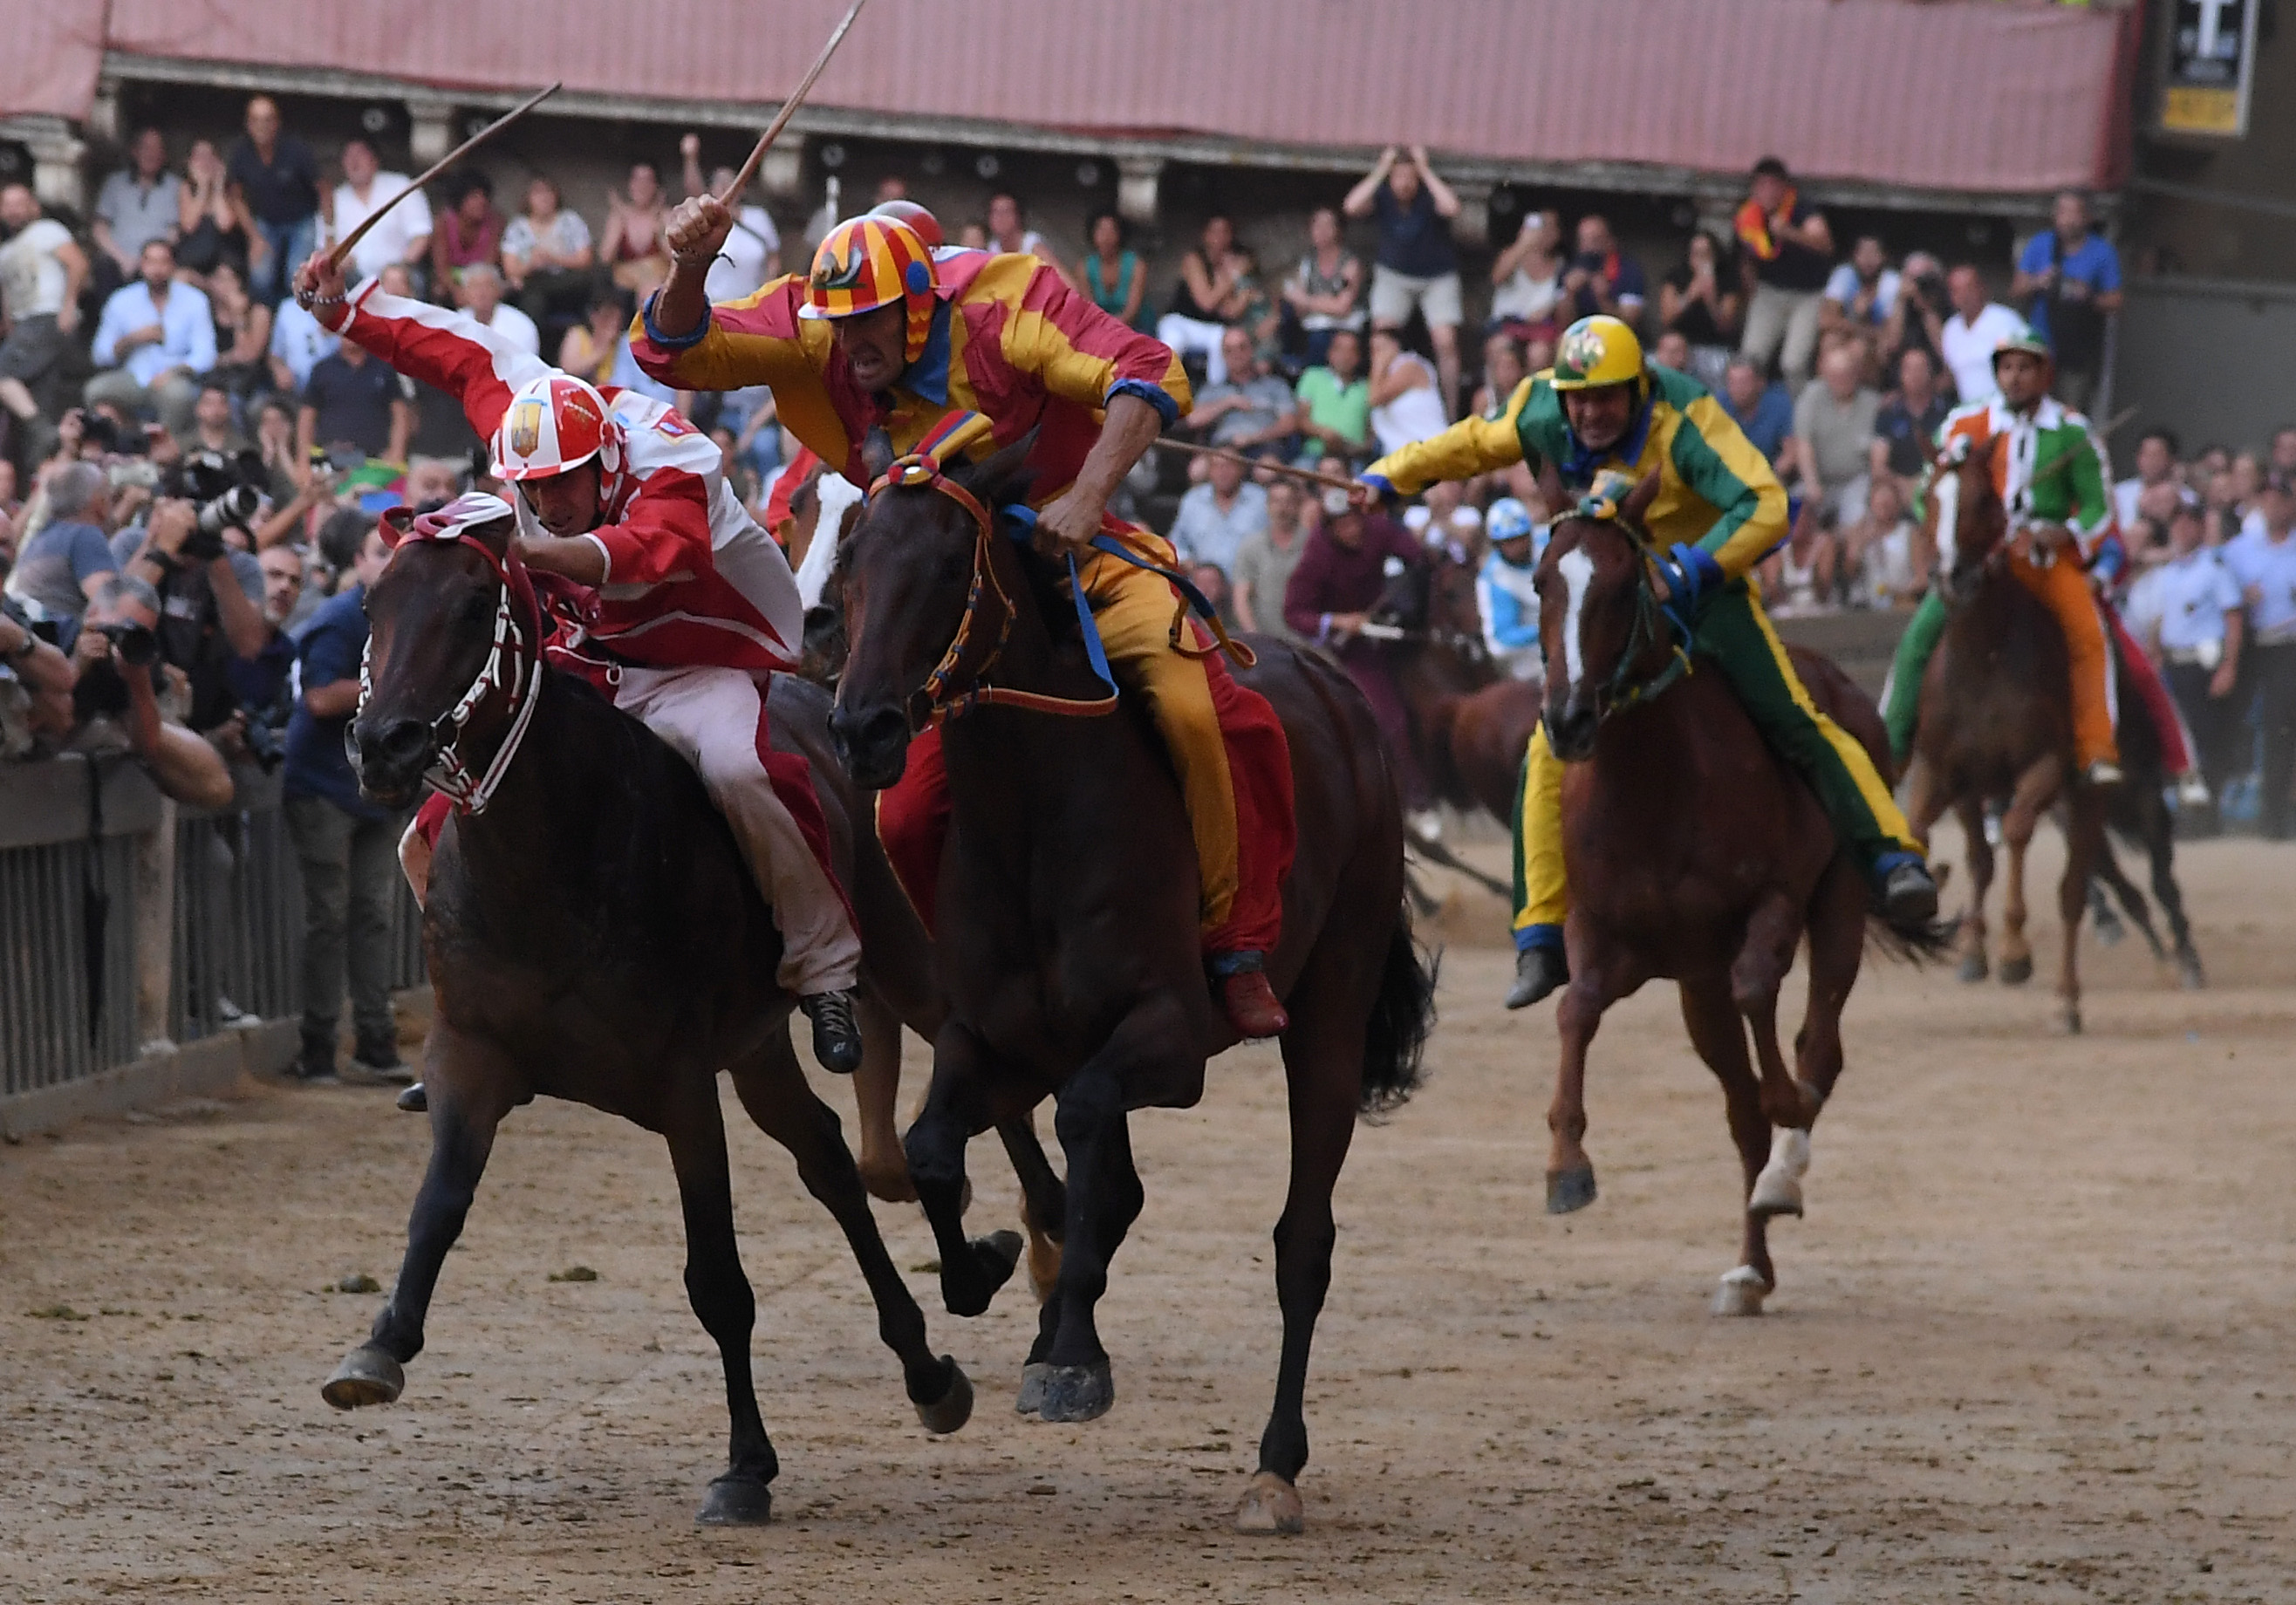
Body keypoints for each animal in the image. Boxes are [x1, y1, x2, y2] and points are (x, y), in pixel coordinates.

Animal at [325, 507, 987, 1524]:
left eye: (474, 604)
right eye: (373, 601)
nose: (384, 744)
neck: (554, 856)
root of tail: (828, 702)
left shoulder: (680, 1086)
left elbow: (717, 1281)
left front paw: (745, 1466)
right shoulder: (472, 1055)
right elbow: (435, 1210)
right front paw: (379, 1346)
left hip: (892, 946)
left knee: (945, 1070)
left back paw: (978, 1260)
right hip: (757, 1048)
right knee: (827, 1158)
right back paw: (925, 1367)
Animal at [826, 434, 1432, 1533]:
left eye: (947, 569)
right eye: (848, 566)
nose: (862, 728)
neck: (1035, 815)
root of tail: (1337, 684)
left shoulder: (1170, 1037)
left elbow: (1083, 1117)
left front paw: (1070, 1351)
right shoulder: (989, 1037)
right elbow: (937, 1148)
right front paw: (982, 1273)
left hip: (1331, 998)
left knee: (1303, 1241)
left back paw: (1274, 1466)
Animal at [1524, 473, 1937, 1322]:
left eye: (1623, 583)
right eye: (1544, 581)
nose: (1569, 719)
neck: (1656, 783)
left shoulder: (1772, 902)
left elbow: (1765, 1003)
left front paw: (1791, 1112)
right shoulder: (1612, 937)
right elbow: (1575, 1010)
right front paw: (1566, 1165)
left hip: (1837, 907)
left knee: (1819, 1048)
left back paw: (1785, 1167)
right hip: (1696, 991)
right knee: (1741, 1109)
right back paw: (1750, 1268)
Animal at [1910, 443, 2102, 1042]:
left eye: (1984, 501)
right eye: (1930, 498)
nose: (1952, 576)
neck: (1985, 653)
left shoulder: (2045, 764)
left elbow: (2017, 830)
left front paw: (2016, 951)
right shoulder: (1944, 770)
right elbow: (1927, 834)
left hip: (2085, 796)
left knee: (2071, 893)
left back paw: (2066, 1003)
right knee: (1980, 859)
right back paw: (1974, 950)